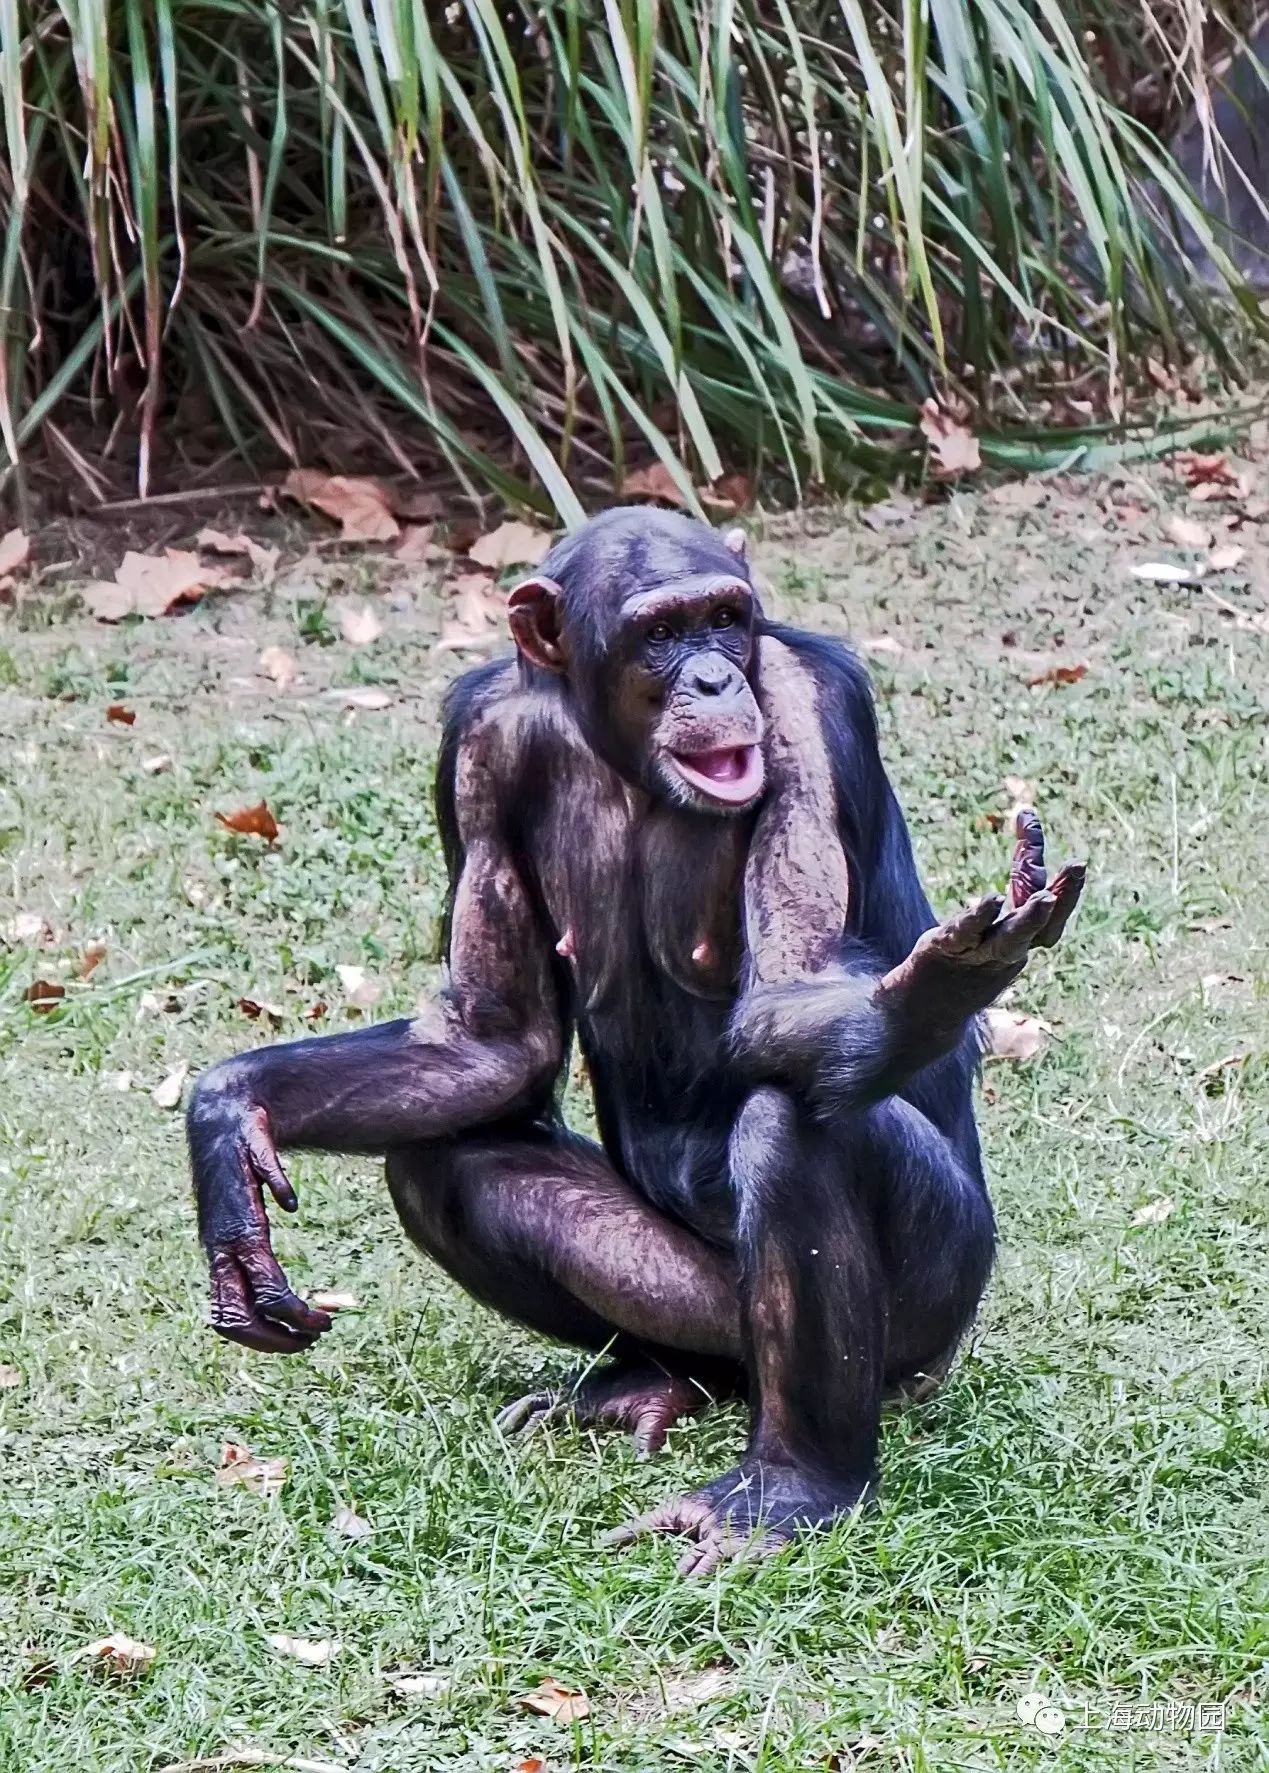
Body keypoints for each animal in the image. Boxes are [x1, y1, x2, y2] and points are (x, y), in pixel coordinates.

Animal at [188, 507, 1077, 1574]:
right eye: (659, 633)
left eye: (725, 618)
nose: (714, 678)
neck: (623, 761)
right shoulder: (478, 745)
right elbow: (493, 1041)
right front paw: (228, 1121)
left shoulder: (803, 707)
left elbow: (790, 985)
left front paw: (923, 997)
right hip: (710, 1315)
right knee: (446, 1163)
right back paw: (653, 1381)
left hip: (933, 1312)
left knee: (793, 1121)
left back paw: (794, 1485)